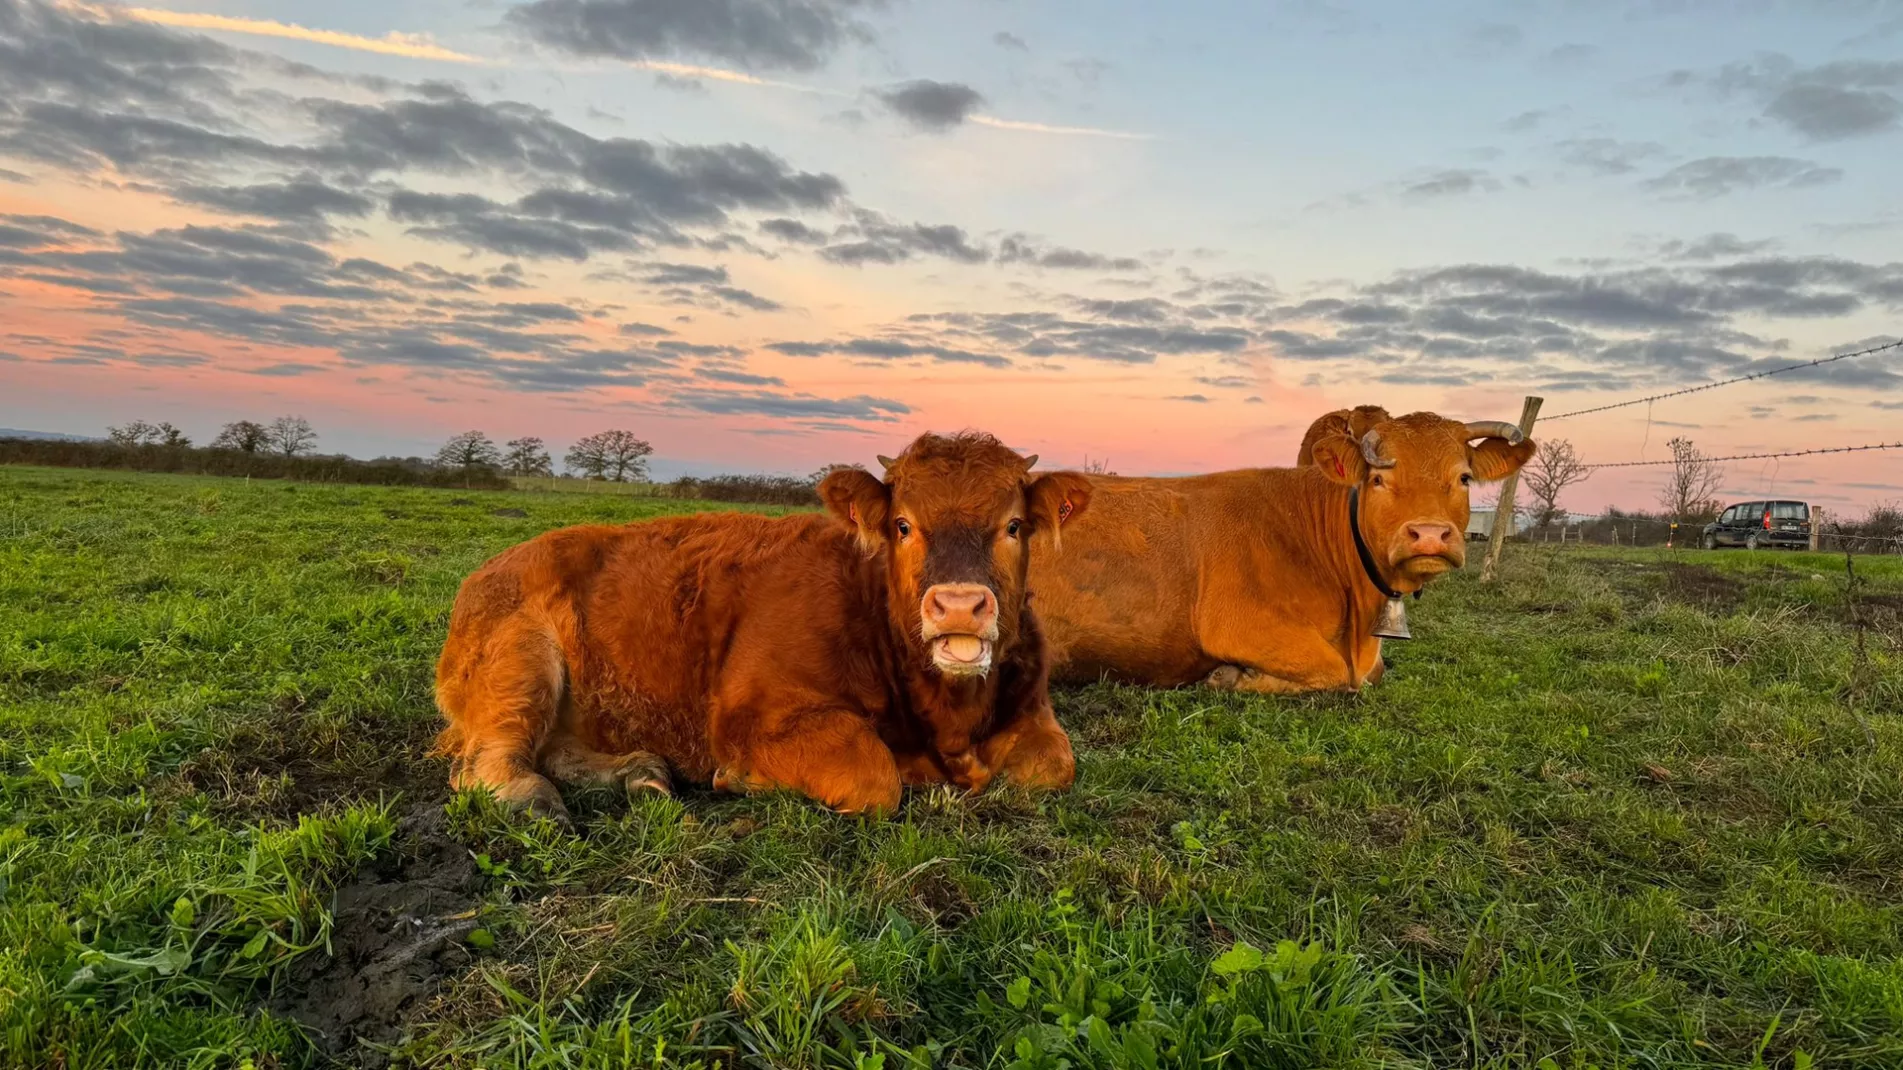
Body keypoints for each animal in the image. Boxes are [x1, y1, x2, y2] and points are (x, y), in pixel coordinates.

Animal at [1027, 407, 1530, 693]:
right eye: (1377, 479)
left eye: (1463, 478)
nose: (1428, 534)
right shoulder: (1237, 623)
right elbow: (1337, 671)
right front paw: (1229, 676)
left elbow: (1372, 671)